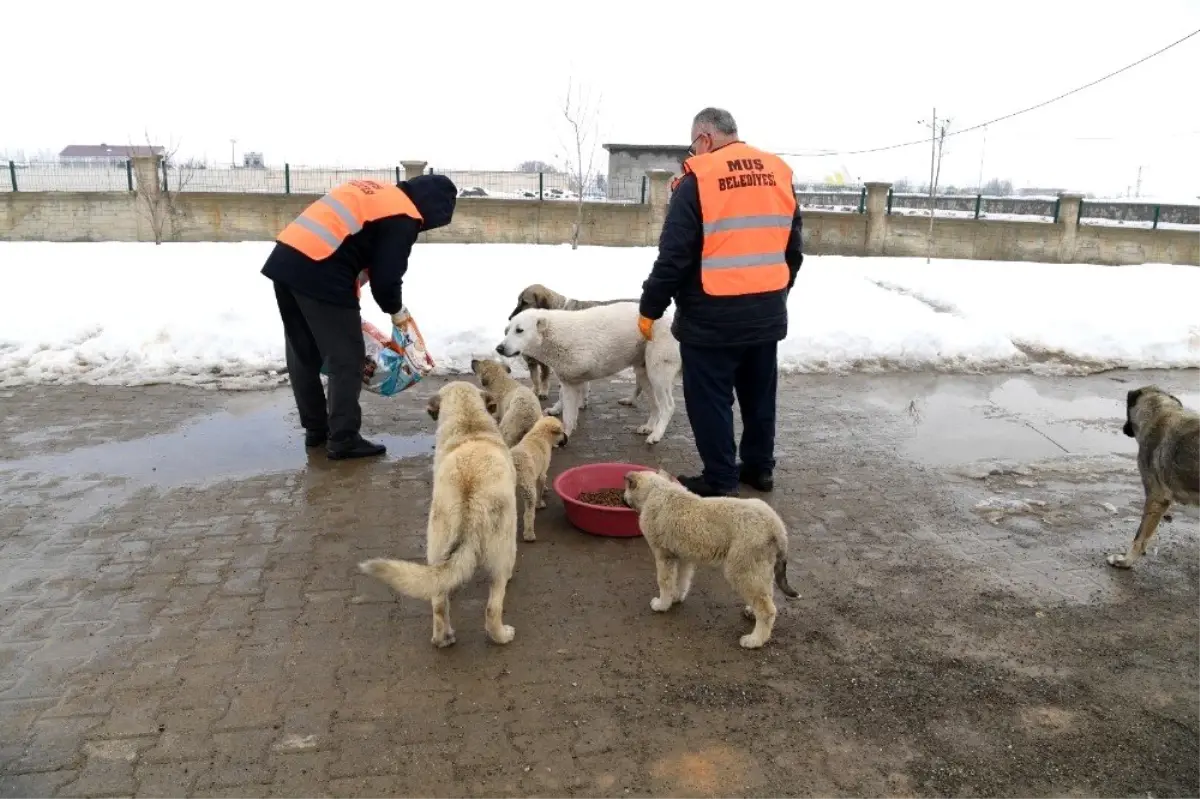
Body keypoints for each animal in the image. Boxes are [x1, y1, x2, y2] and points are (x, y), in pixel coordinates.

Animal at [360, 381, 520, 647]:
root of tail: (470, 500)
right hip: (503, 552)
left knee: (437, 600)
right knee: (492, 608)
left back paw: (442, 639)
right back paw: (502, 635)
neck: (469, 424)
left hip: (436, 545)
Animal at [489, 303, 676, 443]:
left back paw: (656, 434)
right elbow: (567, 405)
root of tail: (670, 319)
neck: (553, 335)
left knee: (667, 404)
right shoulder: (569, 377)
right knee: (654, 401)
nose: (499, 348)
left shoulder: (577, 372)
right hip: (643, 368)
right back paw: (648, 427)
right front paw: (563, 427)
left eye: (519, 330)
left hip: (658, 365)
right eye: (507, 330)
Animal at [628, 467, 796, 647]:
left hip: (742, 569)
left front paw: (662, 604)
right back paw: (752, 612)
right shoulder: (683, 557)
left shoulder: (664, 556)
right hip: (759, 568)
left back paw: (755, 640)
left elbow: (665, 582)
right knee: (765, 596)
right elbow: (681, 580)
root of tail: (776, 525)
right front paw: (676, 597)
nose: (623, 499)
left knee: (767, 610)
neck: (657, 490)